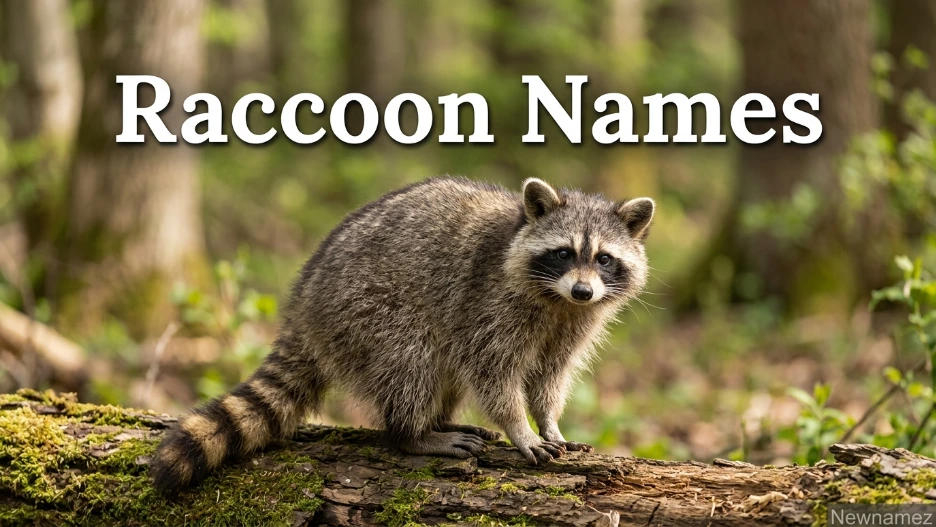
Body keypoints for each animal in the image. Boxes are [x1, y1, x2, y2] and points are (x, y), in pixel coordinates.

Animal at [150, 176, 655, 493]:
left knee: (440, 370)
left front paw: (549, 421)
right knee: (412, 361)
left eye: (604, 259)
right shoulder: (490, 302)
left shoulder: (574, 323)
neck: (558, 300)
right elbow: (493, 373)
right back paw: (413, 434)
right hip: (368, 311)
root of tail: (305, 306)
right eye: (564, 252)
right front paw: (519, 428)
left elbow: (550, 375)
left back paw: (439, 420)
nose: (584, 290)